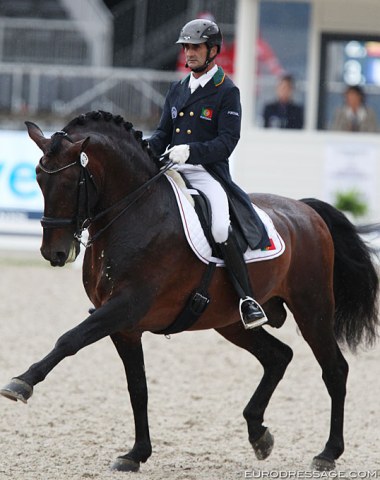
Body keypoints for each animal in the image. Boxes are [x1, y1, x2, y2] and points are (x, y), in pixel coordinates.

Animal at [1, 109, 378, 472]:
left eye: (69, 182)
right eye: (38, 178)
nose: (55, 253)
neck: (135, 212)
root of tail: (307, 210)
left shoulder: (123, 308)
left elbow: (69, 339)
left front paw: (21, 383)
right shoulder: (124, 326)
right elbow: (138, 388)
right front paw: (136, 454)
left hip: (312, 309)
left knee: (334, 369)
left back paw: (328, 452)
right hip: (231, 322)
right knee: (278, 356)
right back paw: (258, 434)